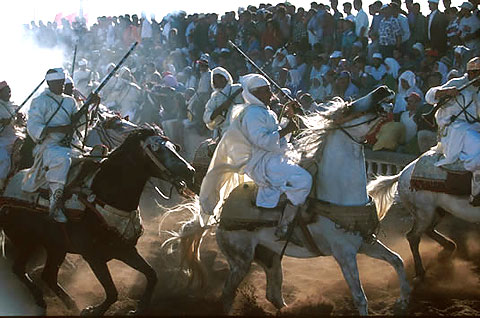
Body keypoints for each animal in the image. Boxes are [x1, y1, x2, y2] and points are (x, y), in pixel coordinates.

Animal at [0, 126, 195, 316]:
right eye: (158, 149)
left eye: (174, 147)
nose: (190, 171)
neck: (106, 196)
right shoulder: (93, 257)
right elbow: (112, 292)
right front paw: (92, 310)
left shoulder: (125, 250)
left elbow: (152, 275)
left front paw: (139, 308)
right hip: (27, 242)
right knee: (20, 269)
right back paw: (42, 299)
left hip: (56, 246)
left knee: (48, 275)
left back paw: (71, 304)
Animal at [163, 85, 410, 314]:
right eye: (349, 108)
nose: (382, 90)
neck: (339, 195)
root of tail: (220, 217)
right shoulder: (344, 253)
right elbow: (360, 297)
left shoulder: (365, 243)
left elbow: (397, 260)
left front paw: (403, 301)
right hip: (241, 260)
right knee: (228, 294)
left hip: (270, 257)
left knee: (273, 294)